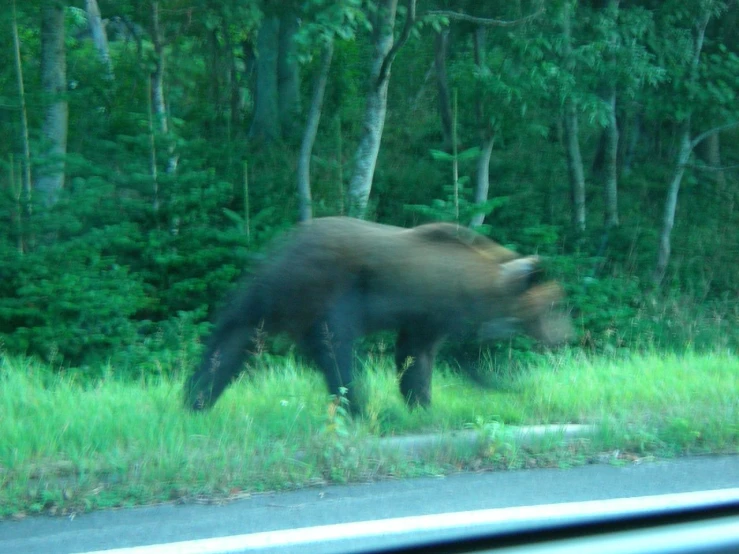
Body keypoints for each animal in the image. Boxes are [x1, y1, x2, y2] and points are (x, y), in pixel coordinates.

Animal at [185, 216, 572, 414]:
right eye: (553, 305)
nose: (564, 334)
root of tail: (279, 250)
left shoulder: (422, 317)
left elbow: (416, 357)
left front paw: (422, 403)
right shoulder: (440, 308)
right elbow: (446, 357)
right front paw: (509, 384)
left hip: (265, 301)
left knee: (230, 341)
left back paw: (195, 399)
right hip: (326, 289)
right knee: (336, 351)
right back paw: (359, 404)